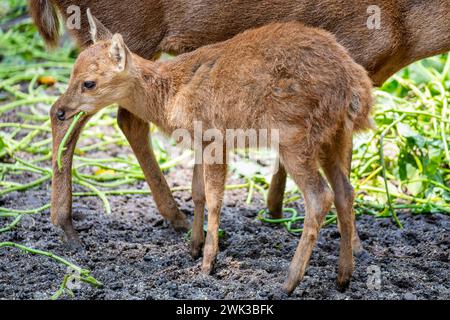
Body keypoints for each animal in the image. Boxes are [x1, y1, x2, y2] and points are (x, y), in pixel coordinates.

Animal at [51, 11, 372, 292]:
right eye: (72, 70)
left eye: (89, 83)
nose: (61, 110)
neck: (170, 96)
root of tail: (355, 88)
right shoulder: (200, 142)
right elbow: (198, 192)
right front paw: (193, 247)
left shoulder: (215, 137)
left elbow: (216, 199)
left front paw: (208, 263)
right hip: (334, 136)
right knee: (345, 192)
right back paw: (343, 277)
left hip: (294, 136)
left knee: (319, 197)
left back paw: (289, 282)